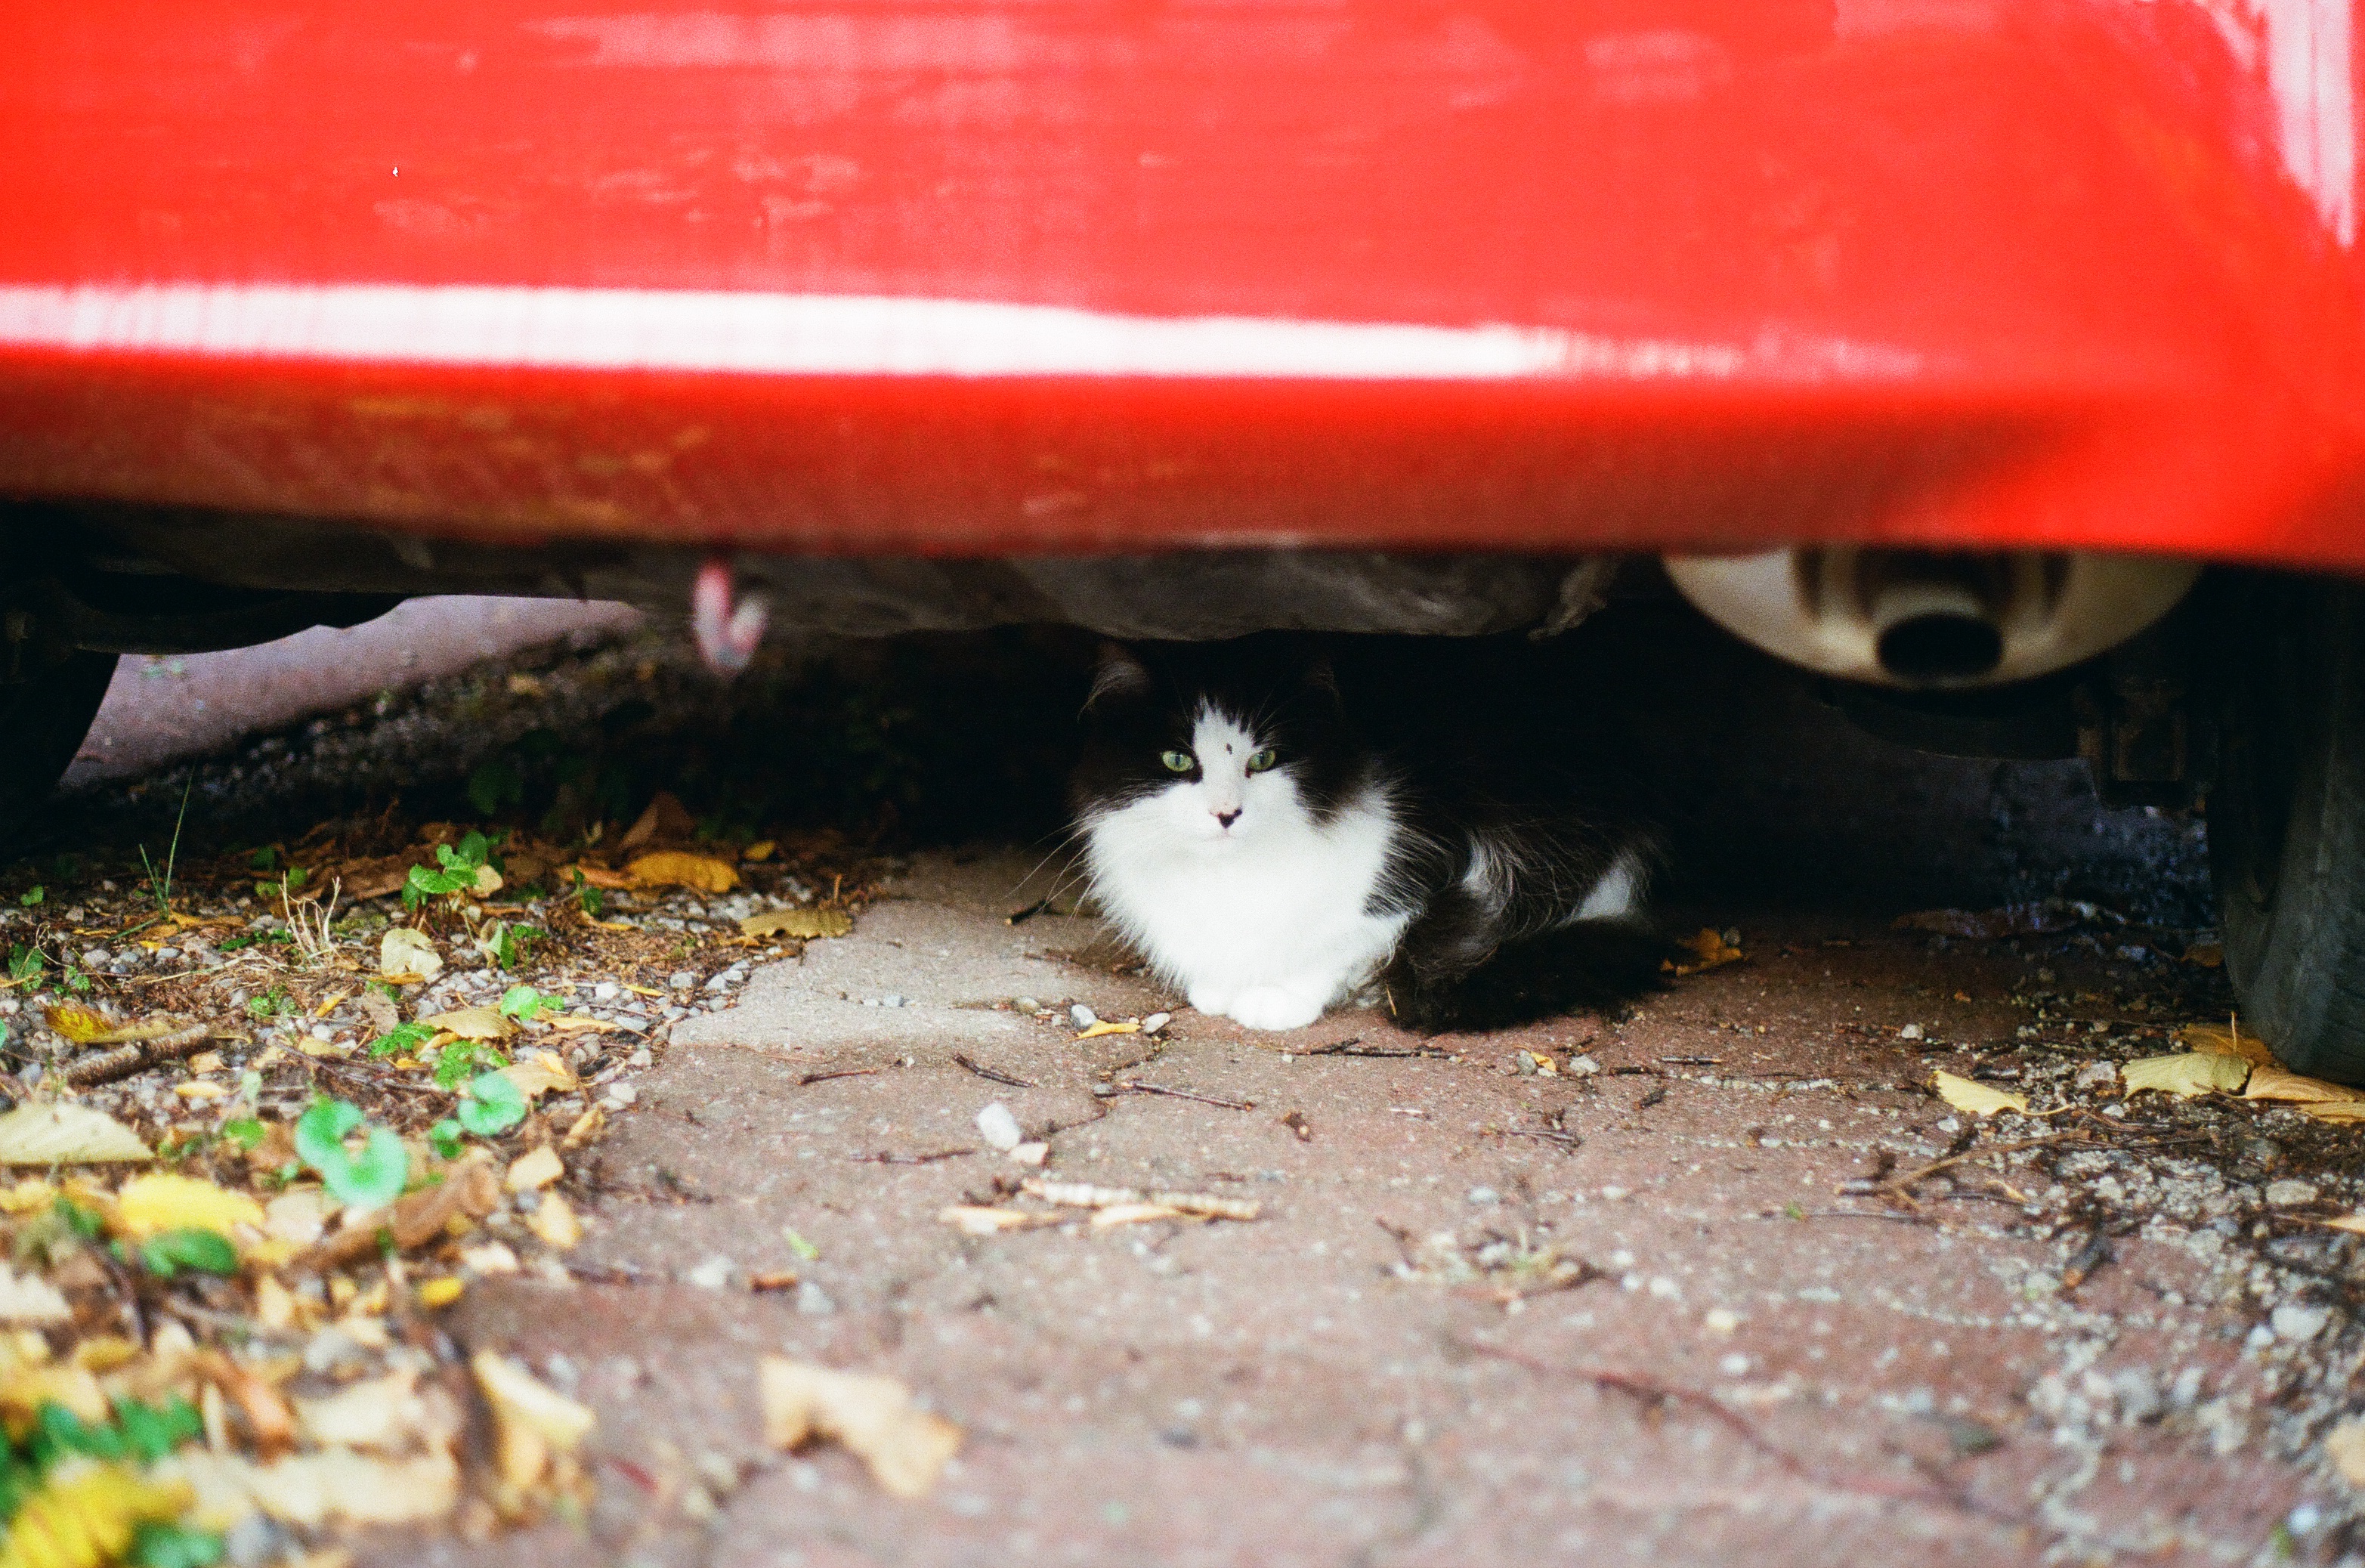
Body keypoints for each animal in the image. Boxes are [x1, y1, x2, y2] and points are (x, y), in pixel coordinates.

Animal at [1074, 633, 1665, 1035]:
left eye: (1264, 759)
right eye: (1177, 760)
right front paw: (1218, 985)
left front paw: (1279, 998)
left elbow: (1340, 941)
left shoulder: (1410, 870)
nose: (1226, 813)